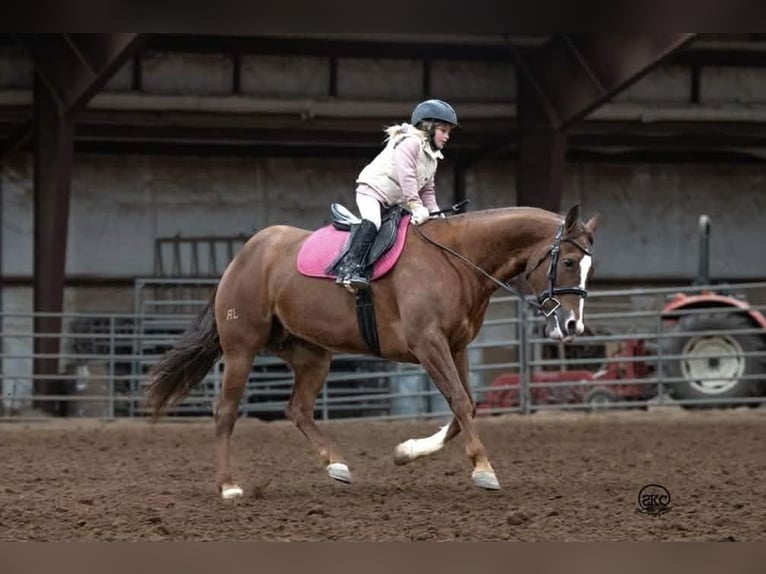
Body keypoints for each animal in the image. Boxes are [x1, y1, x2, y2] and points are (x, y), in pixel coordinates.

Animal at [146, 203, 599, 499]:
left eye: (588, 266)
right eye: (569, 262)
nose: (573, 326)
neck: (457, 260)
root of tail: (244, 255)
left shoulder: (455, 347)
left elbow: (464, 408)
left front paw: (405, 452)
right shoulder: (428, 344)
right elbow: (459, 402)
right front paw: (484, 470)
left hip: (312, 354)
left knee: (298, 409)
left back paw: (336, 465)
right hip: (242, 348)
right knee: (225, 412)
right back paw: (228, 486)